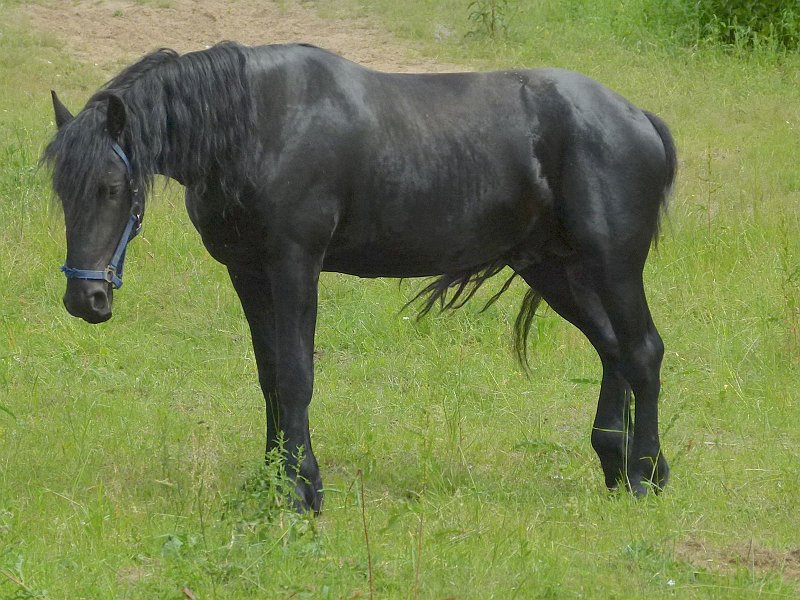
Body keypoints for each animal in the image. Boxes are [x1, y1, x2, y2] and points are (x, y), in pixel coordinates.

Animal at [45, 42, 676, 510]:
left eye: (111, 187)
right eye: (62, 192)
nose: (84, 297)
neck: (261, 123)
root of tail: (637, 118)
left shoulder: (295, 264)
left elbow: (296, 376)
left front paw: (303, 491)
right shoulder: (248, 273)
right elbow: (270, 377)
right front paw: (273, 481)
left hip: (611, 265)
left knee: (642, 351)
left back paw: (645, 475)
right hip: (556, 269)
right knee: (614, 351)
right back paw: (620, 465)